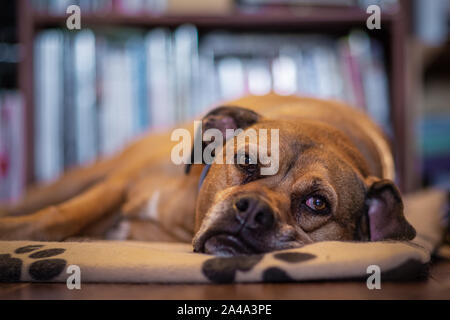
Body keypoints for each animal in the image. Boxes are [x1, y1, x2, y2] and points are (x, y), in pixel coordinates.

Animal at [0, 94, 414, 256]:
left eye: (317, 203)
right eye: (246, 161)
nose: (252, 211)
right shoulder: (120, 186)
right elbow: (56, 218)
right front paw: (15, 232)